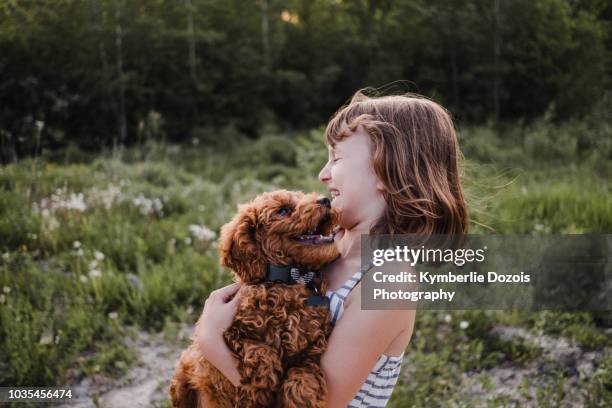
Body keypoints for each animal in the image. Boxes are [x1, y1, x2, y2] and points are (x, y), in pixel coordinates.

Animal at [167, 191, 340, 408]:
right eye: (283, 211)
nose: (326, 200)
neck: (289, 279)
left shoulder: (313, 346)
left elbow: (306, 369)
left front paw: (303, 393)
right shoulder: (224, 332)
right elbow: (255, 347)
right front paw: (263, 375)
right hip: (182, 373)